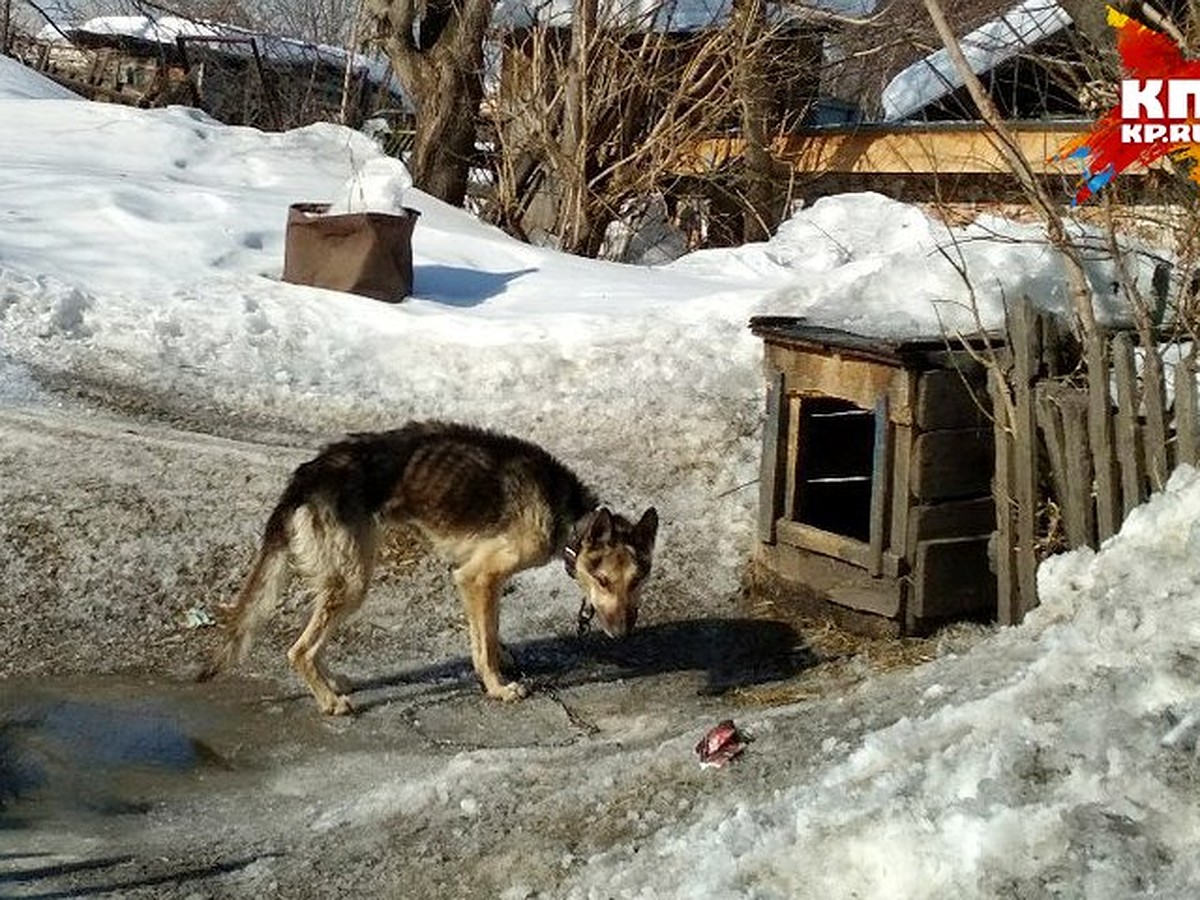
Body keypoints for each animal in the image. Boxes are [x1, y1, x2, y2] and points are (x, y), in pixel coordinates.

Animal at [200, 422, 662, 720]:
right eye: (603, 581)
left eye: (637, 581)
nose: (623, 633)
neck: (569, 518)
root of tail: (309, 474)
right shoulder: (474, 577)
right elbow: (482, 647)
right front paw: (498, 687)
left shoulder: (484, 582)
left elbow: (489, 632)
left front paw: (502, 660)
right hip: (354, 582)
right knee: (298, 650)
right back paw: (329, 701)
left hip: (346, 578)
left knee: (312, 644)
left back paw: (333, 682)